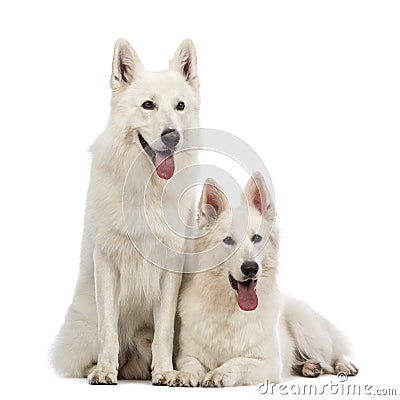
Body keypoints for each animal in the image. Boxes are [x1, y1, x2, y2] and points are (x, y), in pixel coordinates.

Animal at [167, 173, 358, 386]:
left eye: (256, 238)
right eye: (228, 240)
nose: (250, 268)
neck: (230, 310)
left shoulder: (268, 363)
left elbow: (238, 362)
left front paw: (219, 373)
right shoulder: (187, 355)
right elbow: (190, 364)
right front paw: (183, 375)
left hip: (307, 329)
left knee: (332, 352)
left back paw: (343, 365)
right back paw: (310, 367)